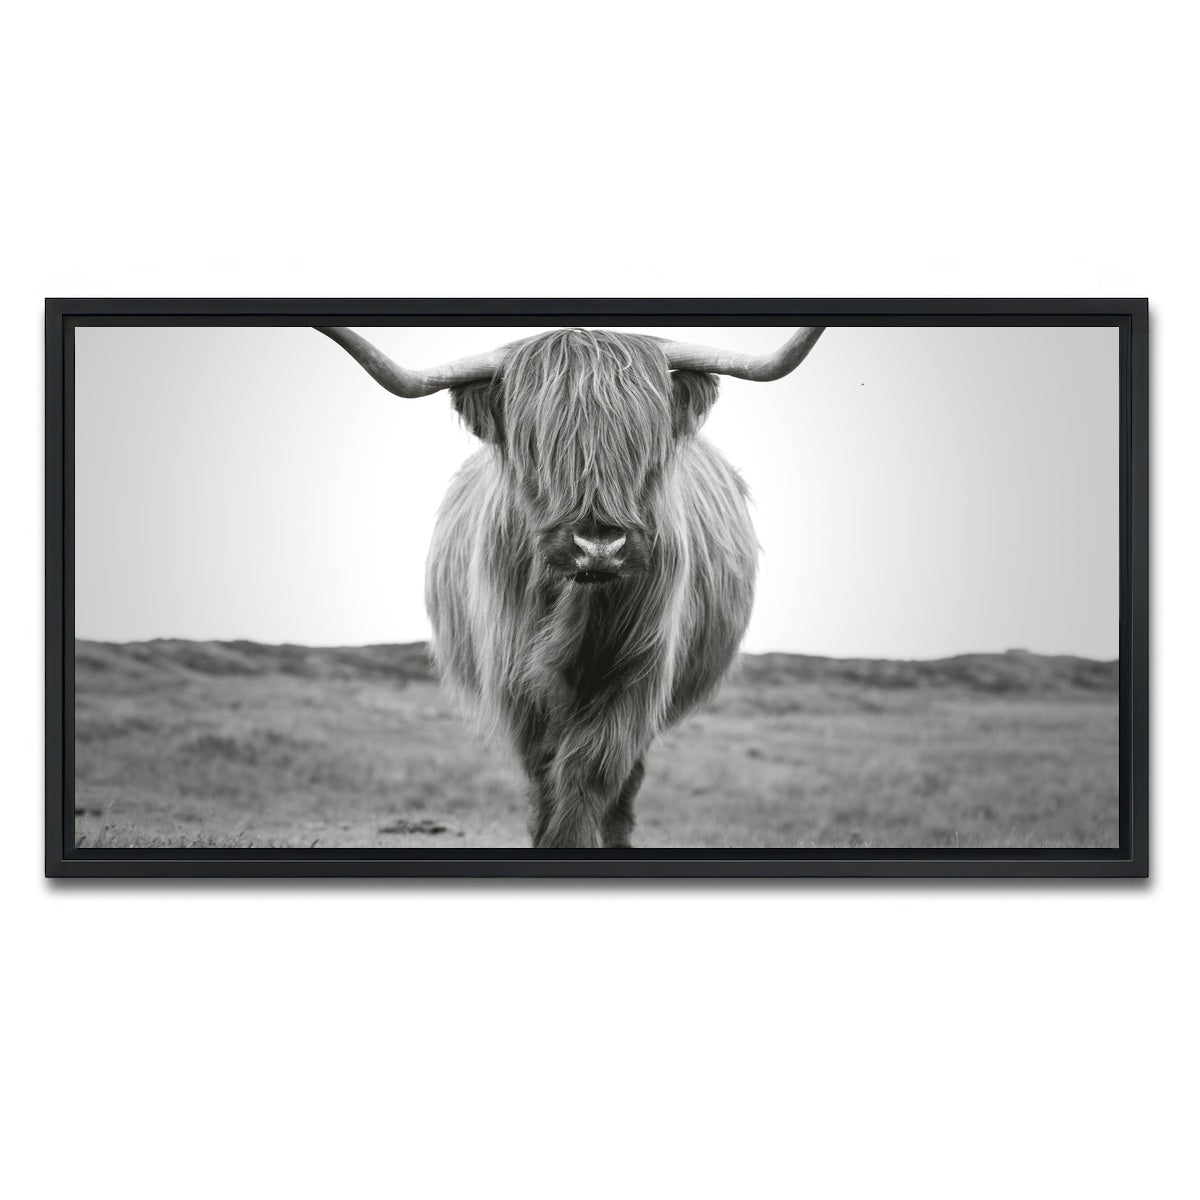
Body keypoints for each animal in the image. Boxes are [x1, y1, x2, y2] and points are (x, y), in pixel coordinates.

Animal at [317, 323, 824, 847]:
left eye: (644, 442)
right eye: (535, 444)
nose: (598, 545)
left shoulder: (637, 674)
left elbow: (591, 769)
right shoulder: (516, 677)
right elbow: (544, 769)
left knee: (626, 781)